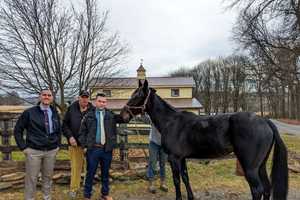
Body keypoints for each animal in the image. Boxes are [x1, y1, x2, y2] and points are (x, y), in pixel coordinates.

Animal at [121, 79, 288, 200]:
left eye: (137, 96)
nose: (123, 115)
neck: (171, 122)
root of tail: (264, 121)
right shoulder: (182, 158)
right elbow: (185, 178)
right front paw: (190, 197)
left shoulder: (174, 158)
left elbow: (176, 180)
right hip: (260, 165)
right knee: (266, 188)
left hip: (250, 167)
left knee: (257, 190)